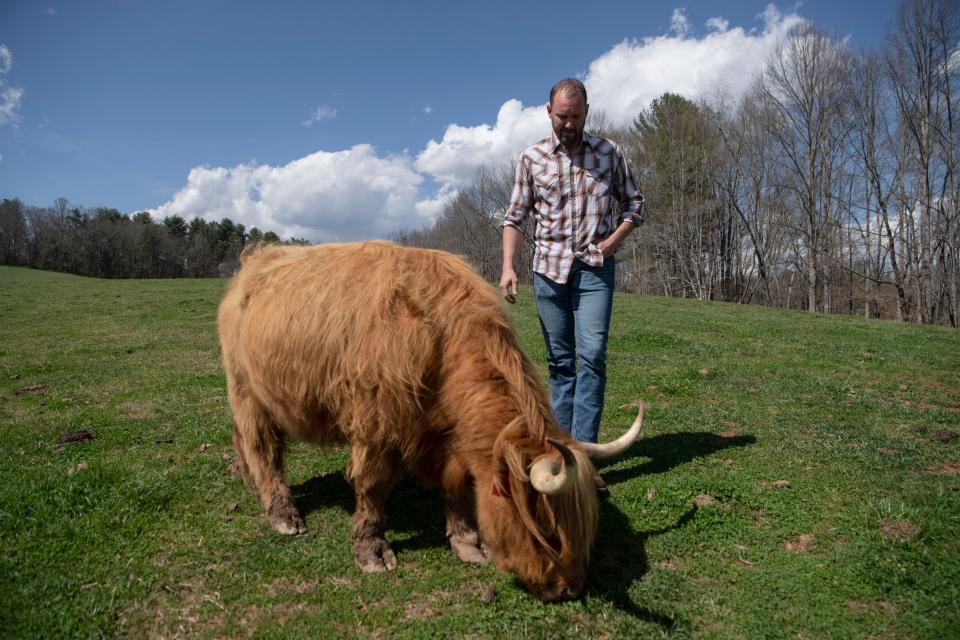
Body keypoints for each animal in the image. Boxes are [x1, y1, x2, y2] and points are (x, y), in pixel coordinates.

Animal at [217, 242, 636, 604]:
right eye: (547, 529)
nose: (570, 588)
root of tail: (256, 257)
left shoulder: (448, 441)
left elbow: (459, 488)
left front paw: (467, 543)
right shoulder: (375, 425)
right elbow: (372, 485)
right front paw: (371, 549)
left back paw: (250, 482)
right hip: (246, 390)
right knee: (262, 446)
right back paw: (282, 513)